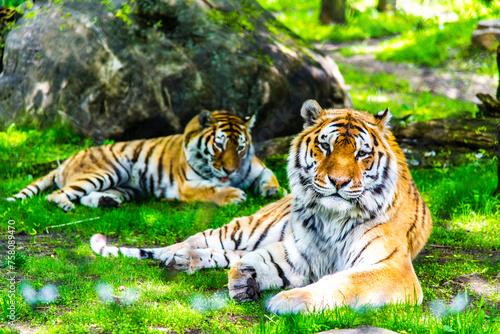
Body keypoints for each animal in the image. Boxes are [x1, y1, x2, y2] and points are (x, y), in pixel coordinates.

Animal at [7, 110, 280, 211]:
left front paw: (273, 192)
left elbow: (270, 176)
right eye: (219, 145)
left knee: (86, 196)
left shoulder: (258, 169)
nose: (230, 170)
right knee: (56, 194)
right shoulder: (187, 185)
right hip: (107, 171)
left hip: (126, 186)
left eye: (241, 147)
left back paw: (107, 201)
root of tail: (66, 160)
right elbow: (212, 190)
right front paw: (233, 195)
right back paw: (66, 205)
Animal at [91, 100, 434, 314]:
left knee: (223, 253)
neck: (331, 217)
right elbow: (259, 261)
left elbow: (345, 282)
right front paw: (246, 278)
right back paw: (175, 256)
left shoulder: (392, 268)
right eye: (325, 146)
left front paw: (286, 299)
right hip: (244, 229)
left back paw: (184, 260)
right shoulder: (299, 254)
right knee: (198, 240)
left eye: (362, 154)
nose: (338, 182)